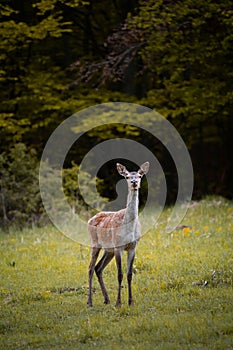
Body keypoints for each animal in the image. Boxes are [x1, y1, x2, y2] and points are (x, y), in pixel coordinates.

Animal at [87, 161, 149, 306]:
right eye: (127, 176)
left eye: (139, 176)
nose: (134, 182)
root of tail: (90, 219)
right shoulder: (118, 246)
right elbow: (120, 274)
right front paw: (119, 303)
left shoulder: (133, 247)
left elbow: (129, 274)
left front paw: (131, 301)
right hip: (95, 243)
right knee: (90, 268)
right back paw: (90, 302)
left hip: (108, 249)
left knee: (98, 268)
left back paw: (106, 299)